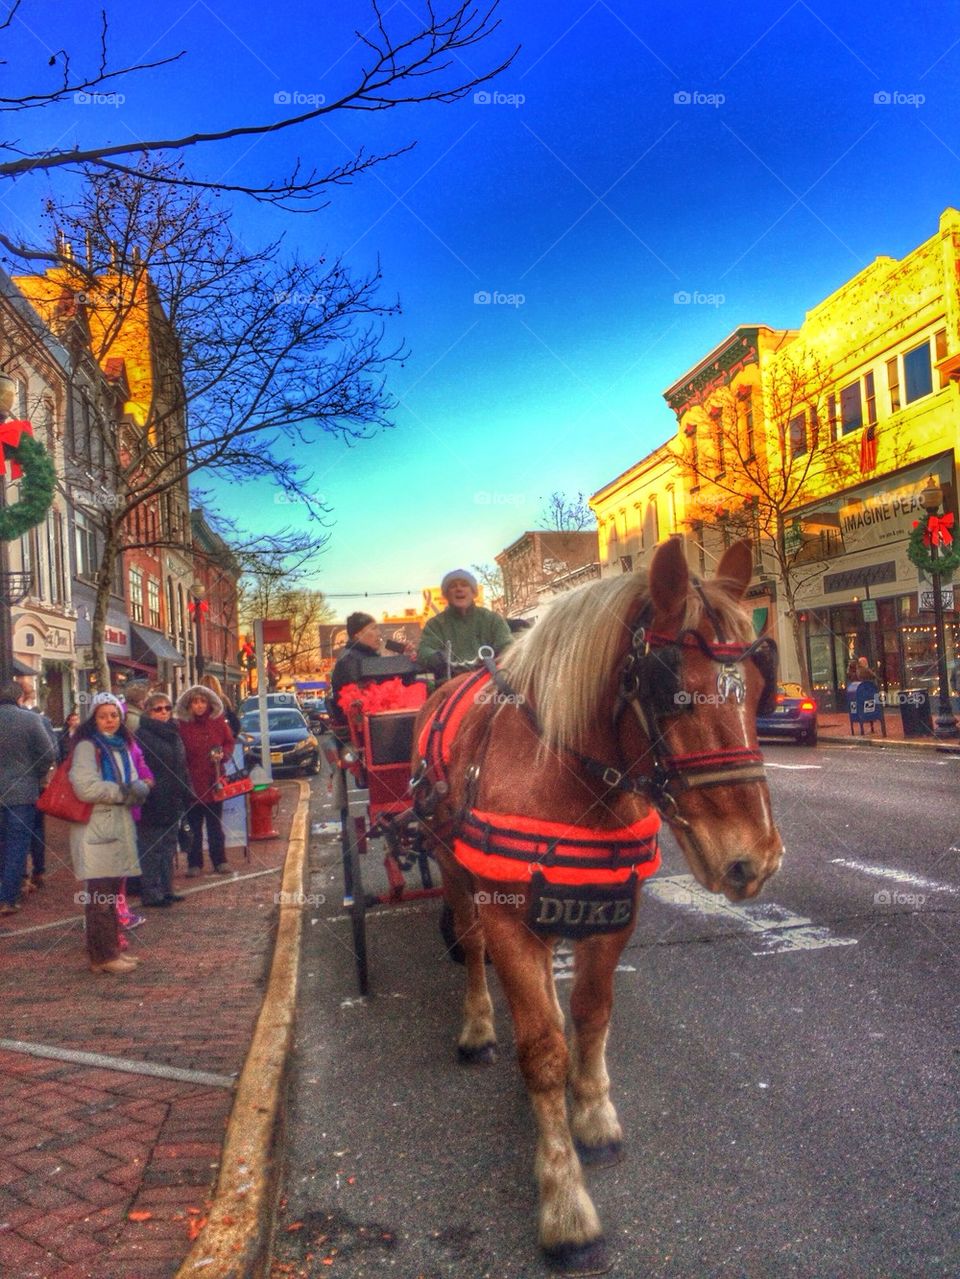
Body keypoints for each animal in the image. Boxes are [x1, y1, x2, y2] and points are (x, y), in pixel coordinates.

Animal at [409, 534, 782, 1273]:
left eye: (759, 687)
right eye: (670, 689)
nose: (752, 858)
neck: (567, 770)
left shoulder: (613, 910)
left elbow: (590, 1014)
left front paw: (593, 1112)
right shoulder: (509, 913)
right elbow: (542, 1050)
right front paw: (564, 1202)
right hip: (454, 868)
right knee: (470, 944)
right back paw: (478, 1025)